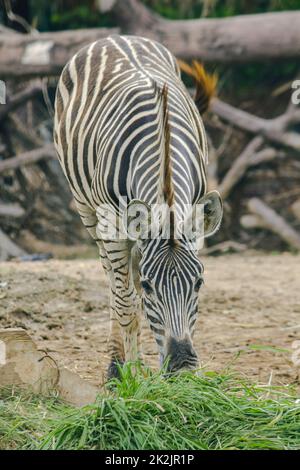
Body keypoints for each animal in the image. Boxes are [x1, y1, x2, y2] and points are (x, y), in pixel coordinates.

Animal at [54, 34, 223, 378]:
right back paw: (117, 366)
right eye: (149, 286)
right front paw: (131, 379)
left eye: (199, 282)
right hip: (88, 211)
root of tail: (114, 37)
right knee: (113, 282)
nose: (182, 368)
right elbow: (127, 303)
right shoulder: (111, 224)